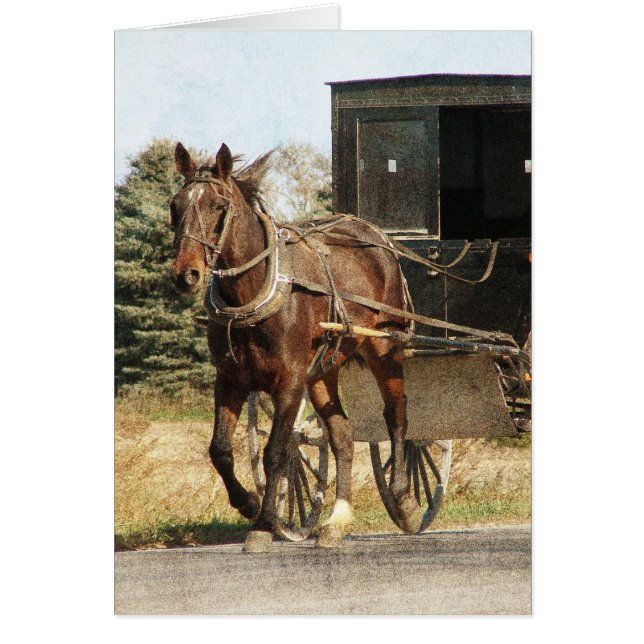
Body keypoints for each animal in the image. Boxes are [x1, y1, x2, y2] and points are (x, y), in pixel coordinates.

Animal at [169, 141, 421, 551]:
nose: (185, 274)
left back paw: (403, 498)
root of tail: (376, 237)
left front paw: (263, 524)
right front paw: (248, 502)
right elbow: (220, 450)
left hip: (385, 348)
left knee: (396, 413)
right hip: (323, 369)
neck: (255, 291)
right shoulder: (230, 381)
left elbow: (276, 452)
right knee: (342, 434)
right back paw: (337, 520)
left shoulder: (289, 381)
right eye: (175, 205)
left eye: (218, 206)